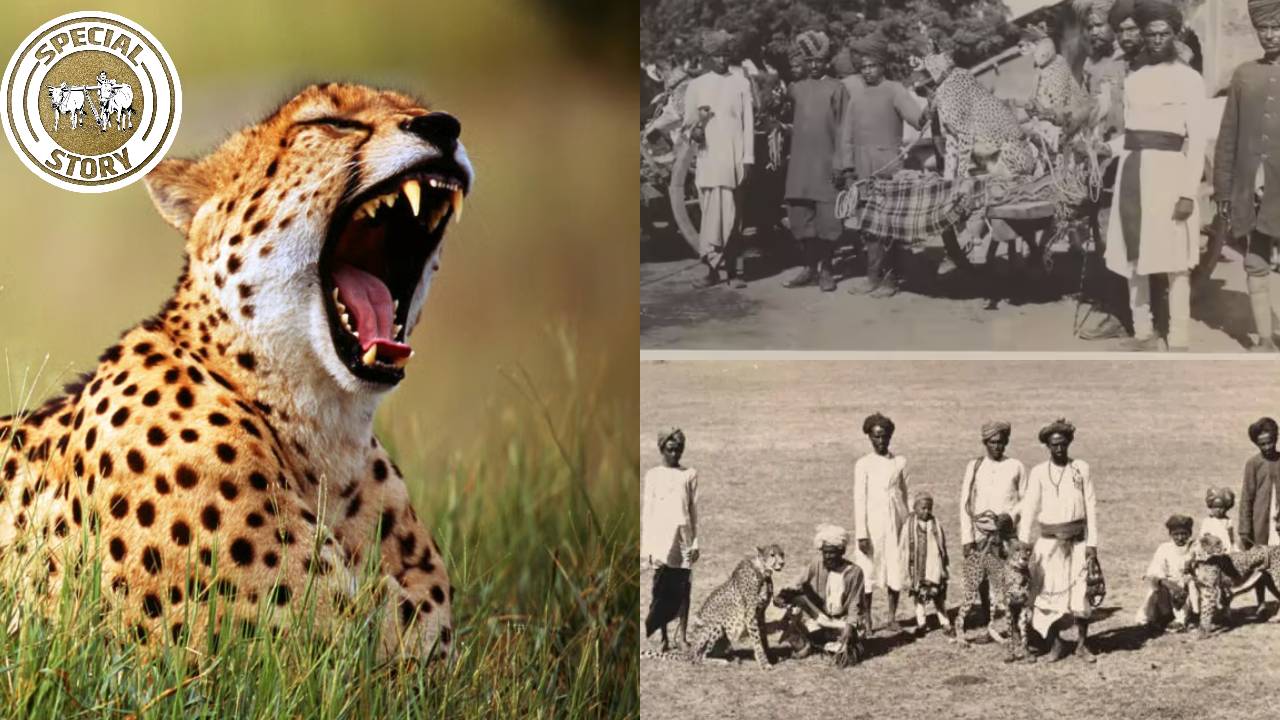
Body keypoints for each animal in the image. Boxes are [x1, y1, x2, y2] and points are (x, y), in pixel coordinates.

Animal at [641, 544, 785, 670]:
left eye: (782, 554)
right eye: (772, 554)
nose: (782, 563)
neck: (763, 572)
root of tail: (689, 651)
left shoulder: (760, 614)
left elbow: (763, 638)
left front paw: (770, 656)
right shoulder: (750, 616)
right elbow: (757, 641)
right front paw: (764, 663)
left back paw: (733, 658)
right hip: (715, 625)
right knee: (698, 658)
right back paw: (721, 662)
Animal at [914, 52, 1037, 180]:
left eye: (930, 56)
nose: (921, 57)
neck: (943, 79)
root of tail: (1032, 165)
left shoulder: (965, 132)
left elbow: (962, 160)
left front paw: (961, 178)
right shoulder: (951, 134)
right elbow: (950, 159)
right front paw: (948, 178)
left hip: (1009, 144)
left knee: (1018, 174)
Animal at [952, 530, 1032, 663]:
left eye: (1028, 550)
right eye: (1017, 549)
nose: (1024, 558)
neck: (1019, 573)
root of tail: (976, 552)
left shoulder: (1023, 606)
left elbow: (1024, 632)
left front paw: (1027, 654)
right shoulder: (1009, 606)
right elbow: (1010, 633)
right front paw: (1010, 655)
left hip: (993, 599)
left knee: (990, 623)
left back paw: (1001, 640)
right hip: (971, 592)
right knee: (959, 617)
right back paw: (962, 641)